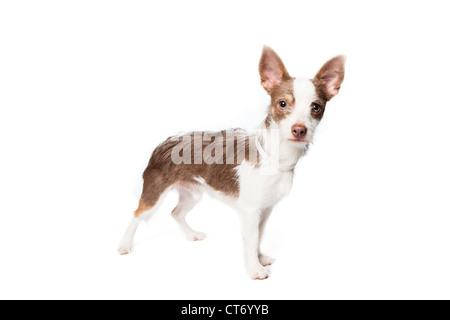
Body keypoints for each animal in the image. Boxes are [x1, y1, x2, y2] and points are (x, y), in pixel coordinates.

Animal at [118, 46, 346, 278]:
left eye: (316, 107)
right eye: (282, 104)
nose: (299, 130)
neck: (276, 156)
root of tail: (164, 142)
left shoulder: (264, 210)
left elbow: (258, 237)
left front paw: (259, 258)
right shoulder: (250, 211)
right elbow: (250, 241)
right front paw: (255, 269)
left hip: (192, 193)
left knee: (176, 212)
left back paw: (191, 235)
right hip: (154, 195)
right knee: (137, 214)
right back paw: (125, 245)